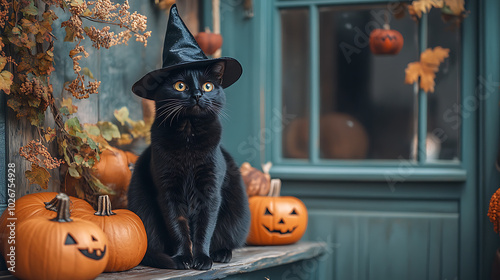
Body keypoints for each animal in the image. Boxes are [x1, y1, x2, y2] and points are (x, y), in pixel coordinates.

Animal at [128, 60, 250, 270]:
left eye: (207, 86)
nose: (197, 95)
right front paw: (183, 258)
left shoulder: (210, 191)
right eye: (180, 86)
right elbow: (178, 228)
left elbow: (204, 228)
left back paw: (221, 253)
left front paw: (201, 258)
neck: (188, 134)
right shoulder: (168, 192)